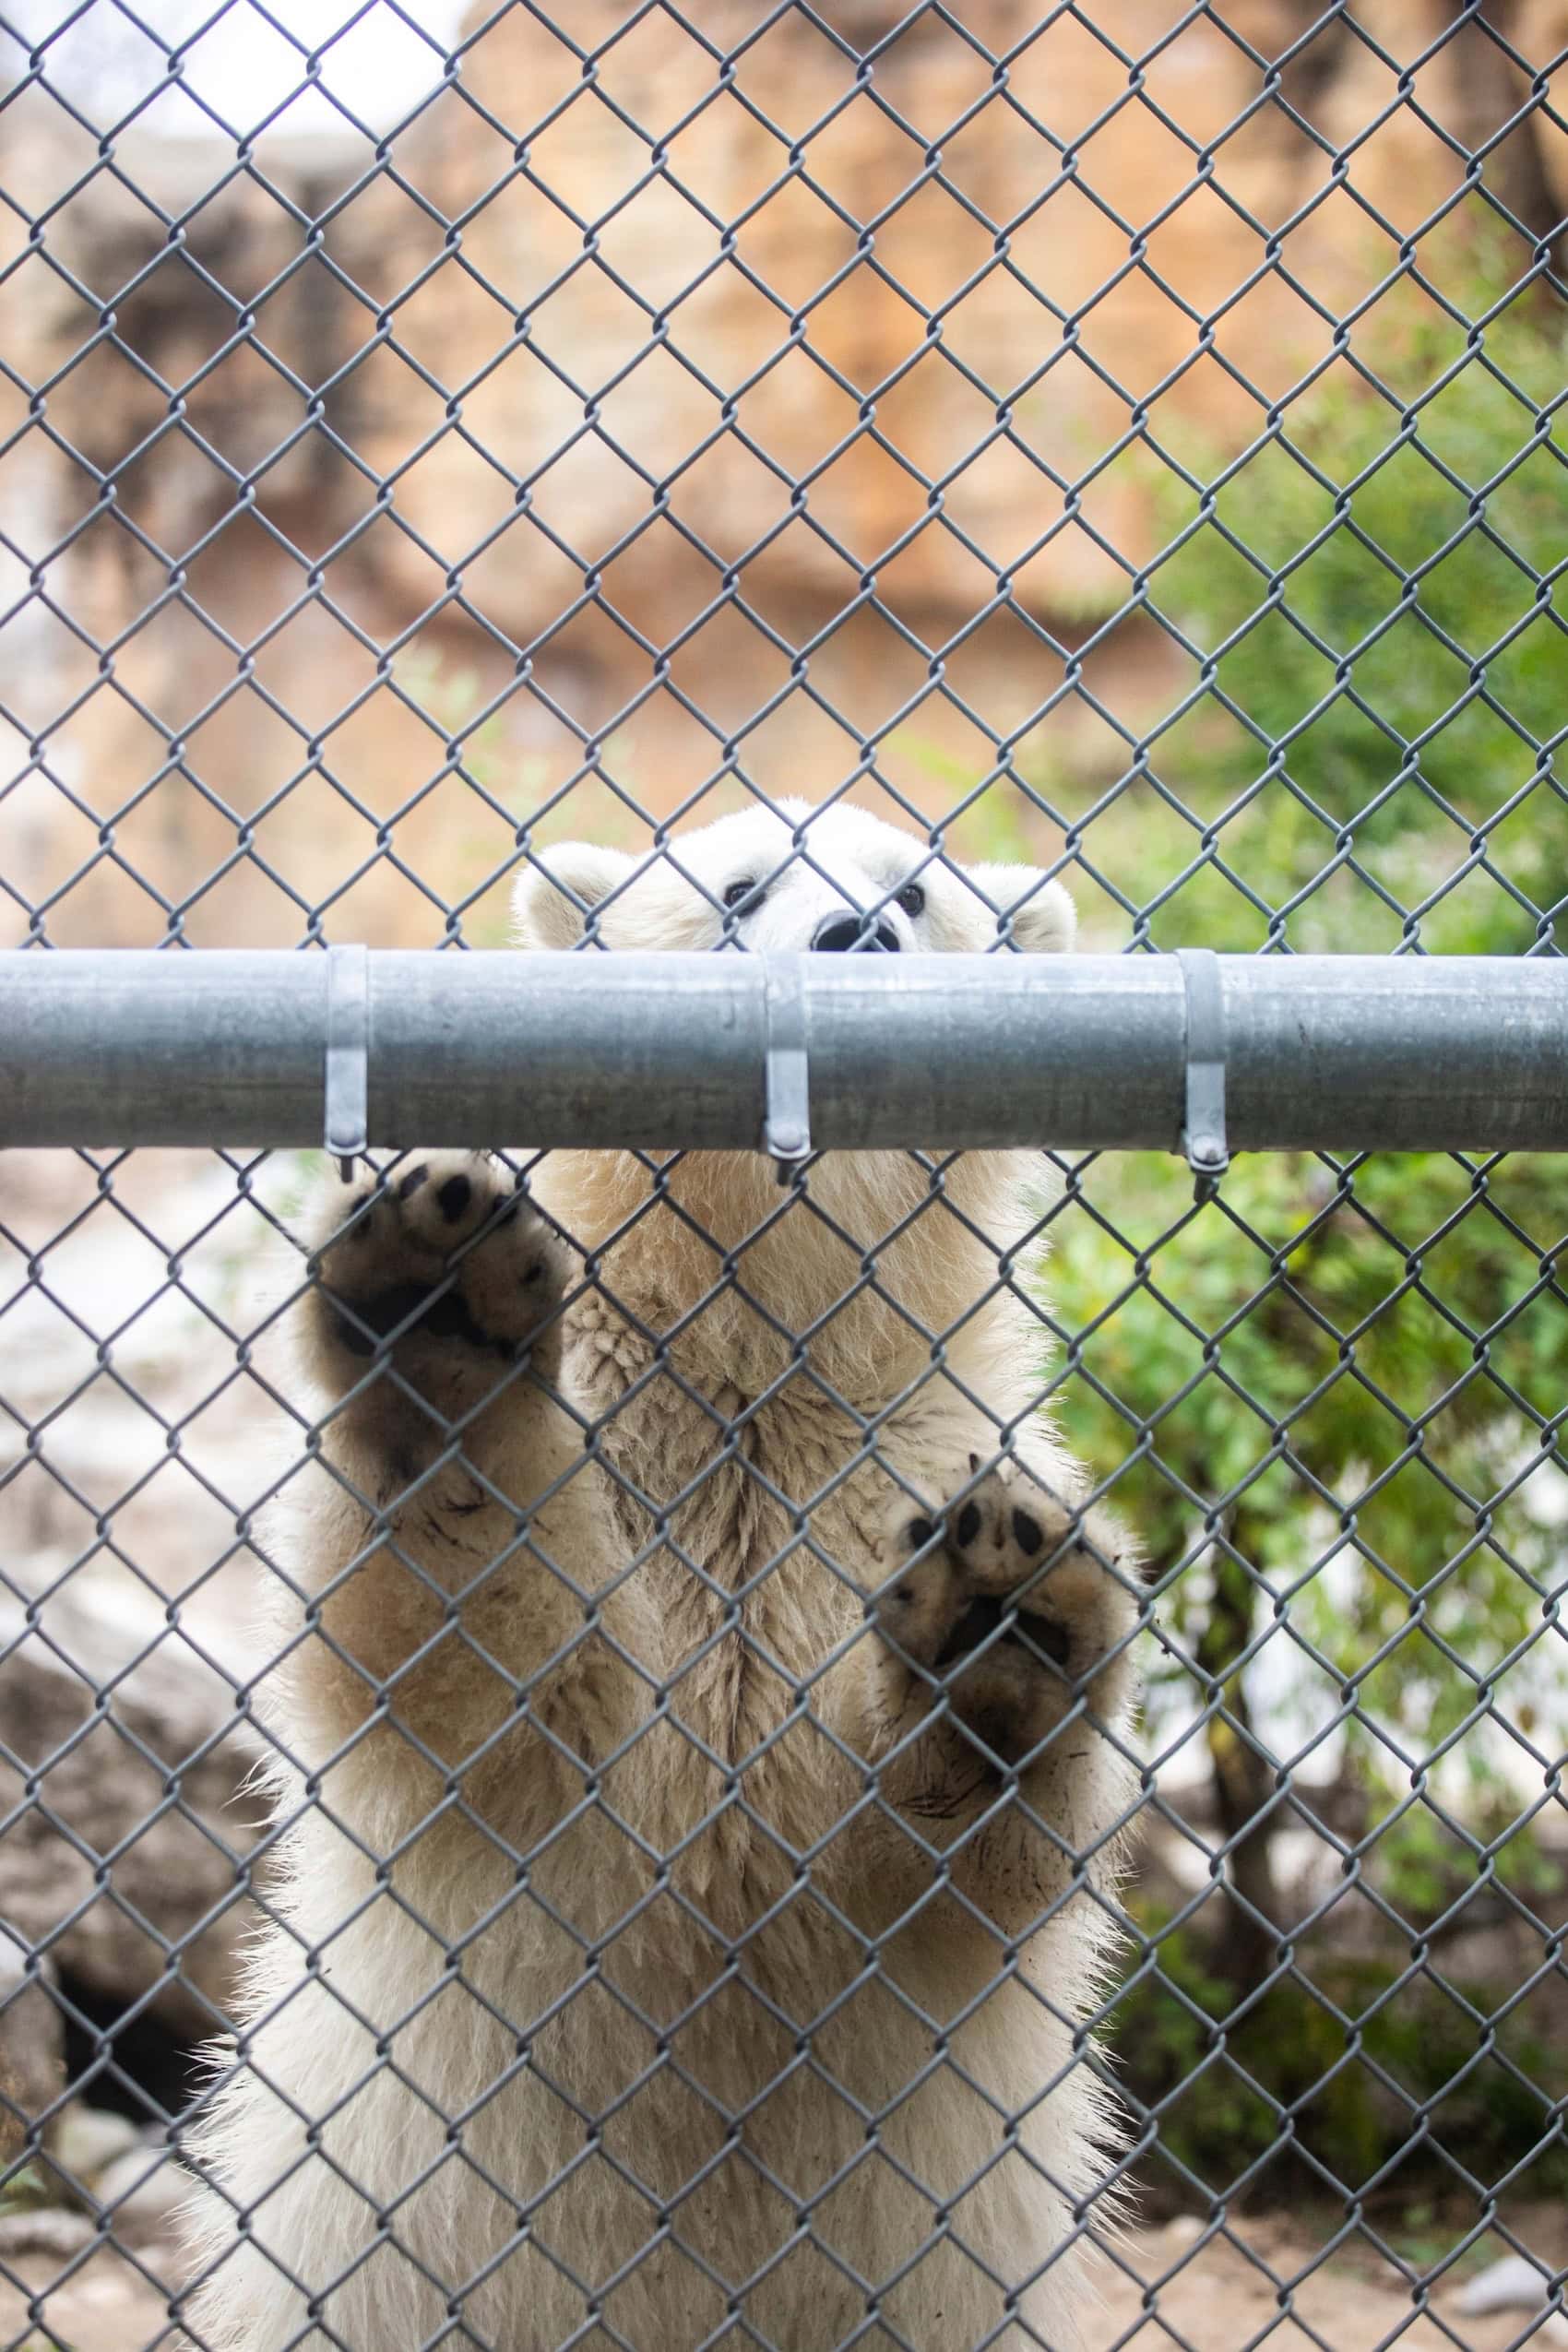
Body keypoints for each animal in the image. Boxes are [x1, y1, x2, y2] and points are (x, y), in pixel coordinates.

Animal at [181, 798, 1142, 2352]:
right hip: (358, 2260)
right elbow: (476, 1675)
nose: (853, 935)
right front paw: (441, 1314)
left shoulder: (889, 1456)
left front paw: (1001, 1618)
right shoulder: (639, 1459)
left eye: (917, 893)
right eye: (740, 886)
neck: (755, 1374)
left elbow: (958, 1858)